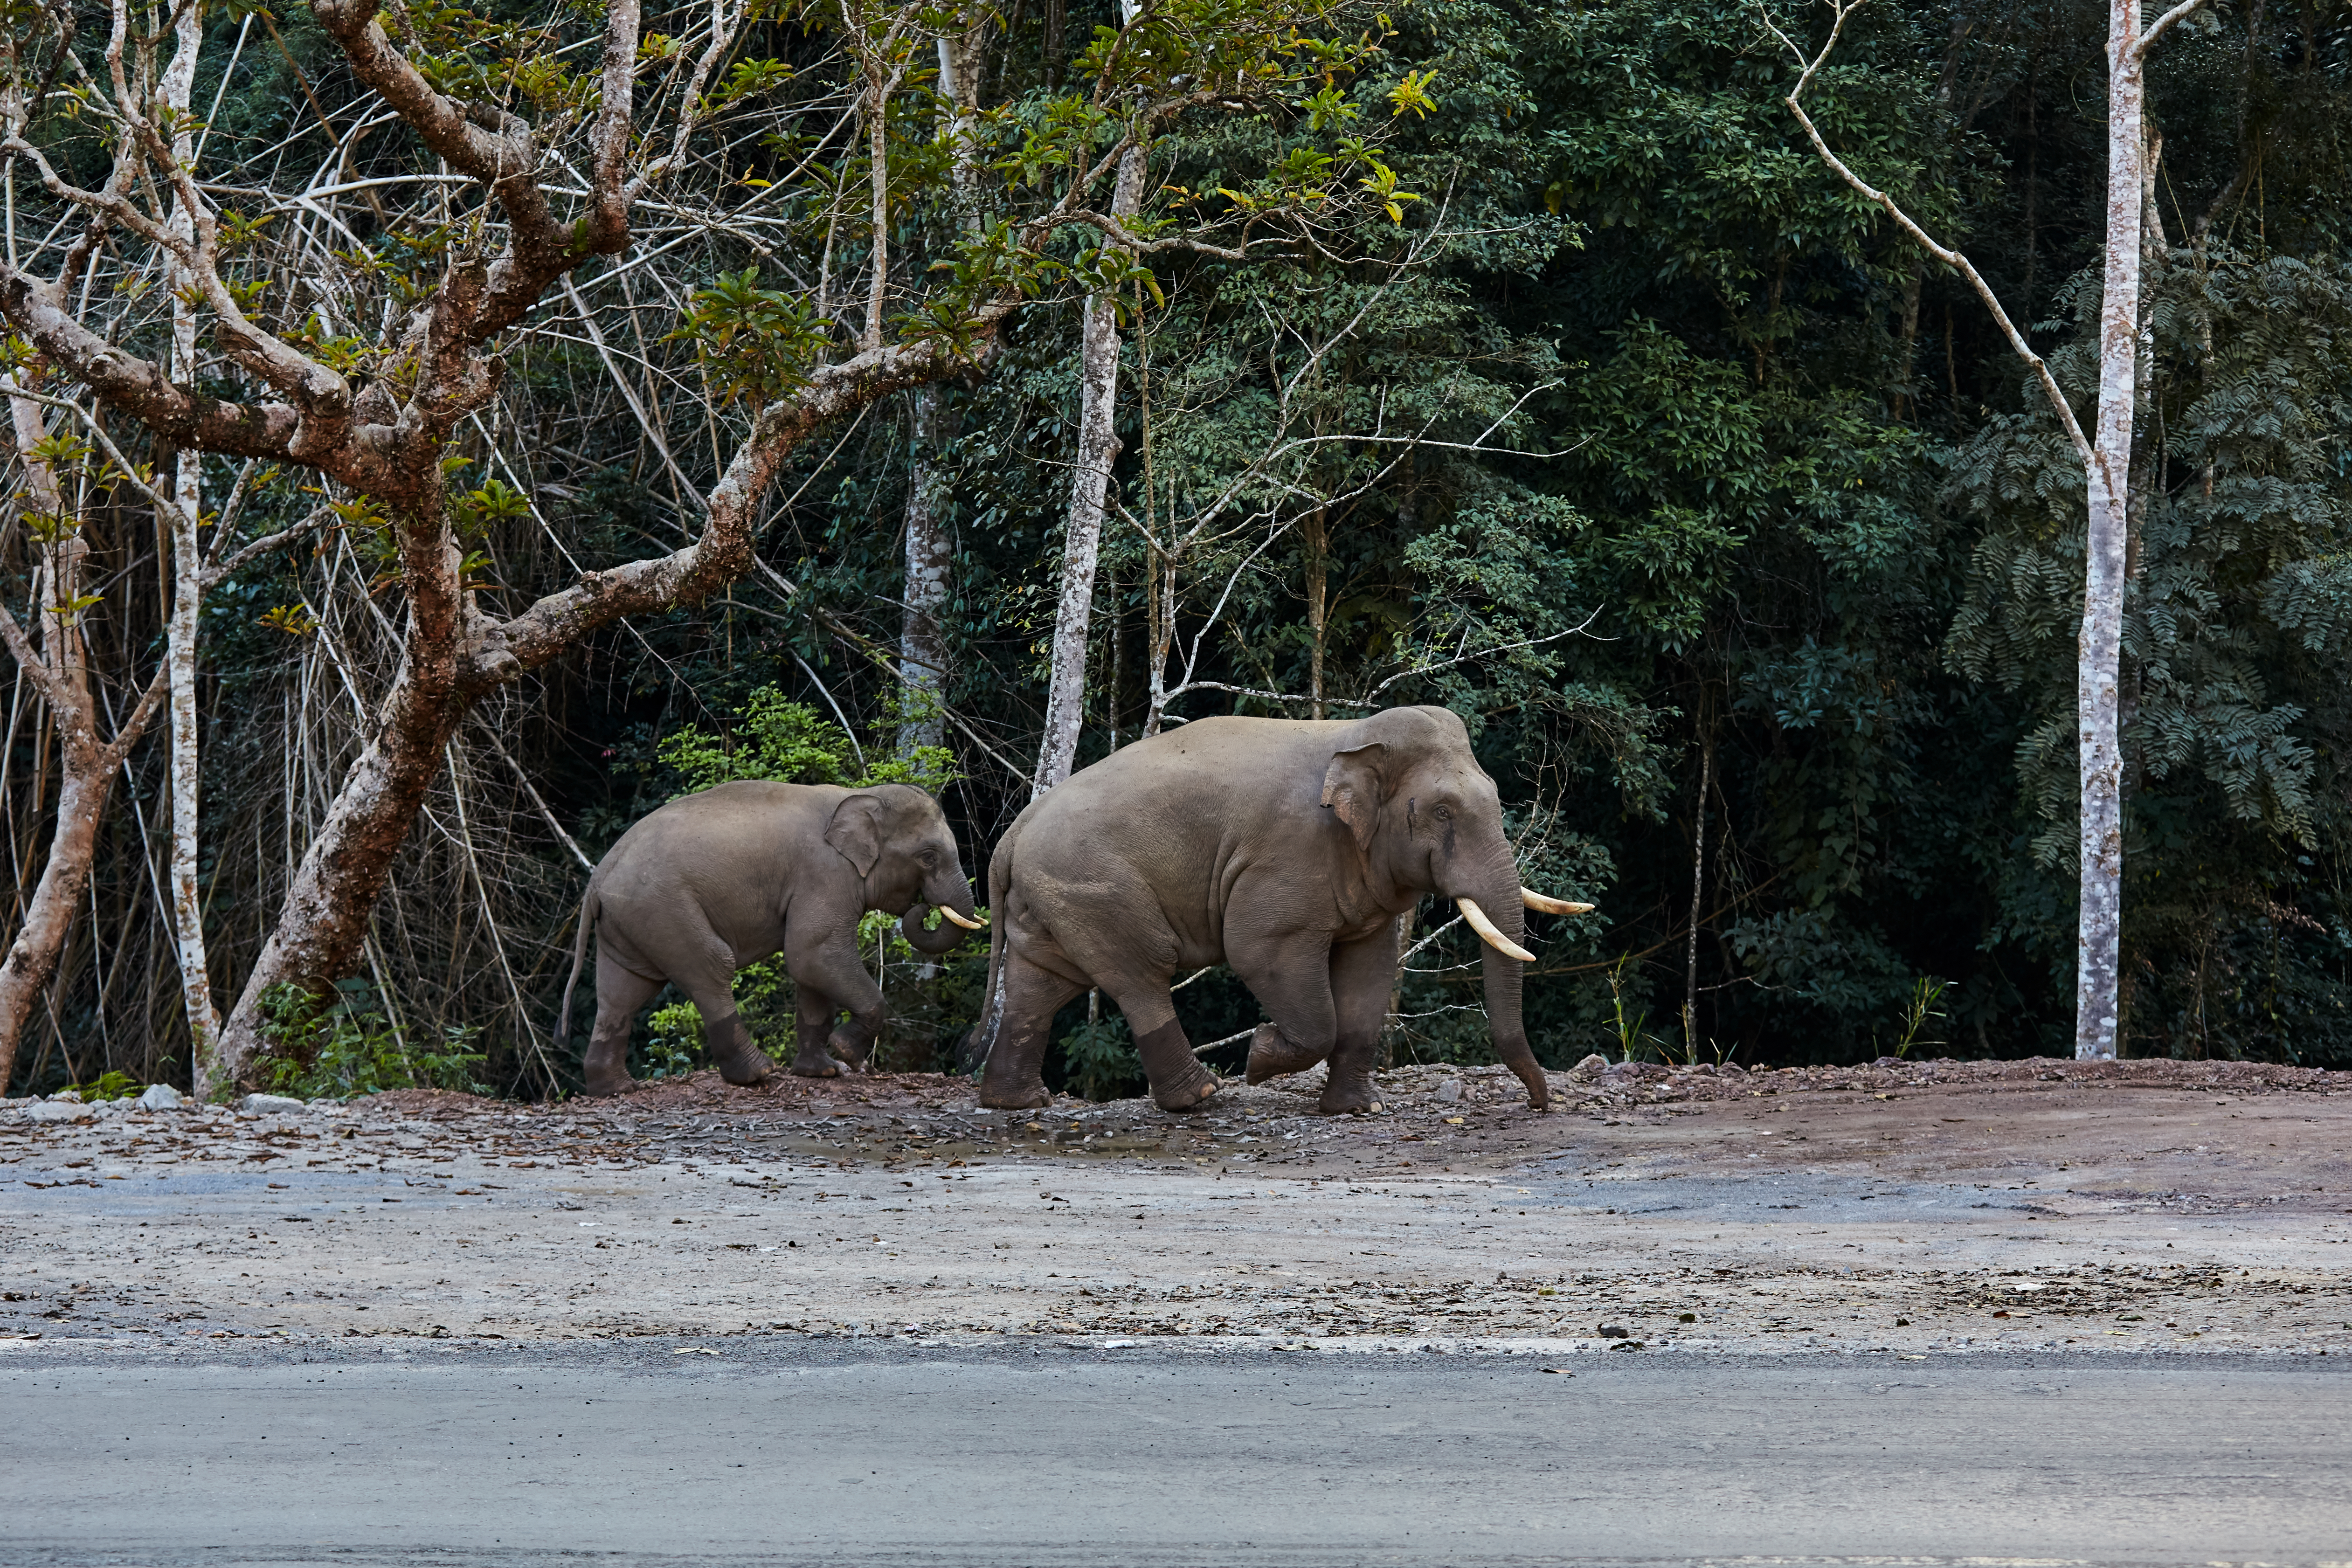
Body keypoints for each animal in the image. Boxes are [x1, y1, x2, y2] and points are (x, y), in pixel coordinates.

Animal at [555, 780, 978, 1100]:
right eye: (928, 856)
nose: (922, 907)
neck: (861, 794)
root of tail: (595, 883)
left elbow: (810, 969)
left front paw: (824, 1071)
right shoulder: (825, 875)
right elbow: (813, 953)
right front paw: (847, 1054)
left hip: (629, 921)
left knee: (623, 993)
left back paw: (617, 1089)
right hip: (662, 909)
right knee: (711, 966)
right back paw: (758, 1073)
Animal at [959, 705, 1599, 1124]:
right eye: (1443, 811)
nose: (1539, 1105)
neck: (1351, 739)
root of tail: (1011, 835)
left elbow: (1369, 969)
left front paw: (1359, 1109)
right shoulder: (1288, 857)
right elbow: (1261, 949)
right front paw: (1260, 1058)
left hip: (1053, 899)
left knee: (1039, 983)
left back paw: (1018, 1103)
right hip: (1093, 889)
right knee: (1141, 972)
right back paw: (1202, 1097)